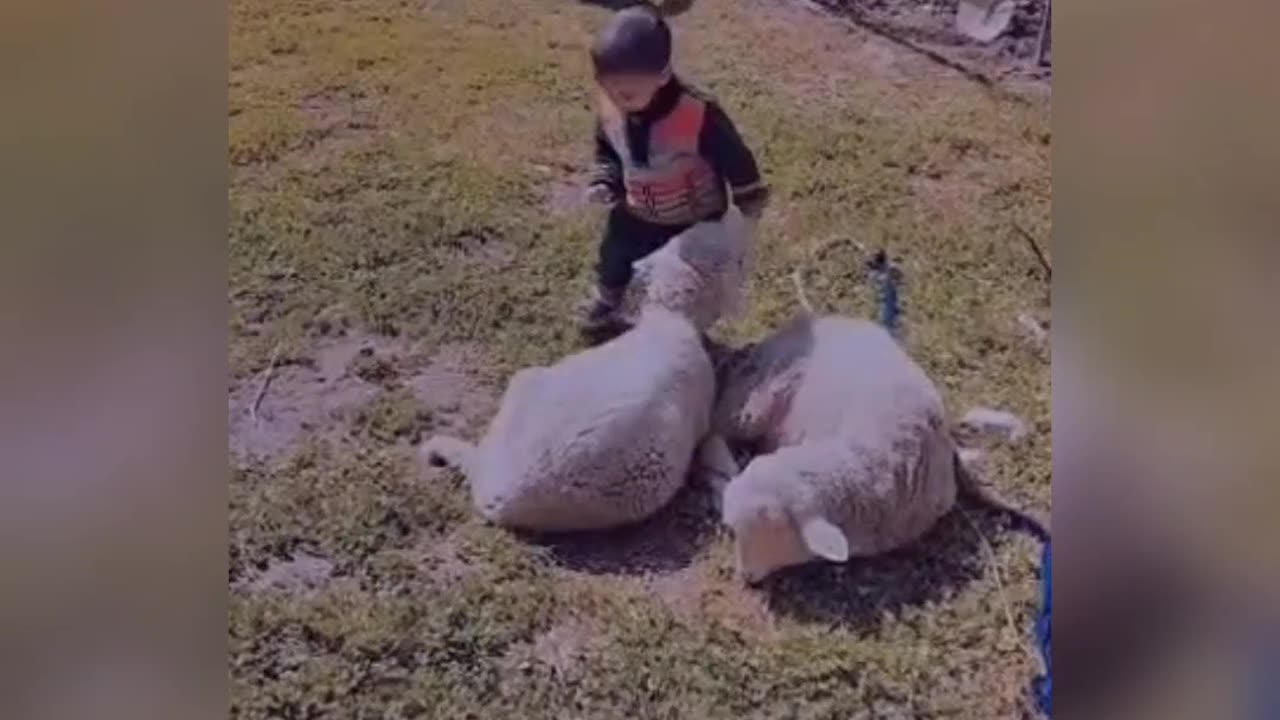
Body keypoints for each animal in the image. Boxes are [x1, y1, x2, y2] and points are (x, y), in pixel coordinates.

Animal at [419, 209, 752, 532]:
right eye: (737, 258)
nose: (732, 210)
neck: (668, 318)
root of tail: (486, 481)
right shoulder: (704, 414)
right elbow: (714, 445)